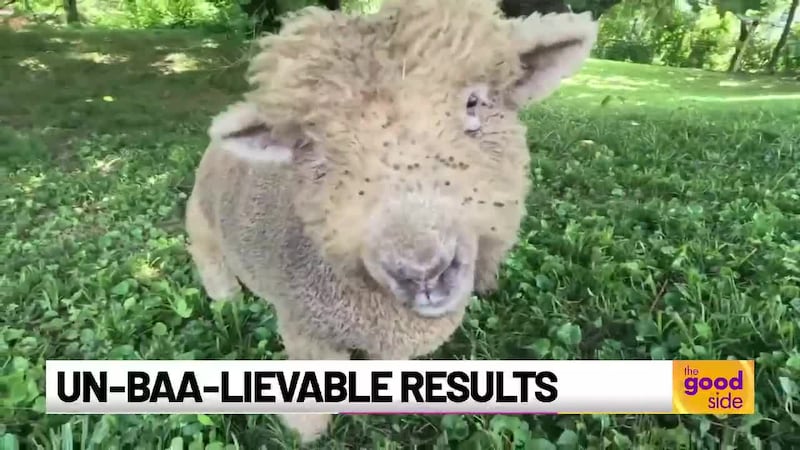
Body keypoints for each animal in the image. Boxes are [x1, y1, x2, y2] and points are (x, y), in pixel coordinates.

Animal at [185, 0, 597, 442]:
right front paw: (303, 434)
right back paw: (227, 301)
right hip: (202, 222)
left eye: (474, 103)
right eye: (313, 149)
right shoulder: (305, 328)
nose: (422, 272)